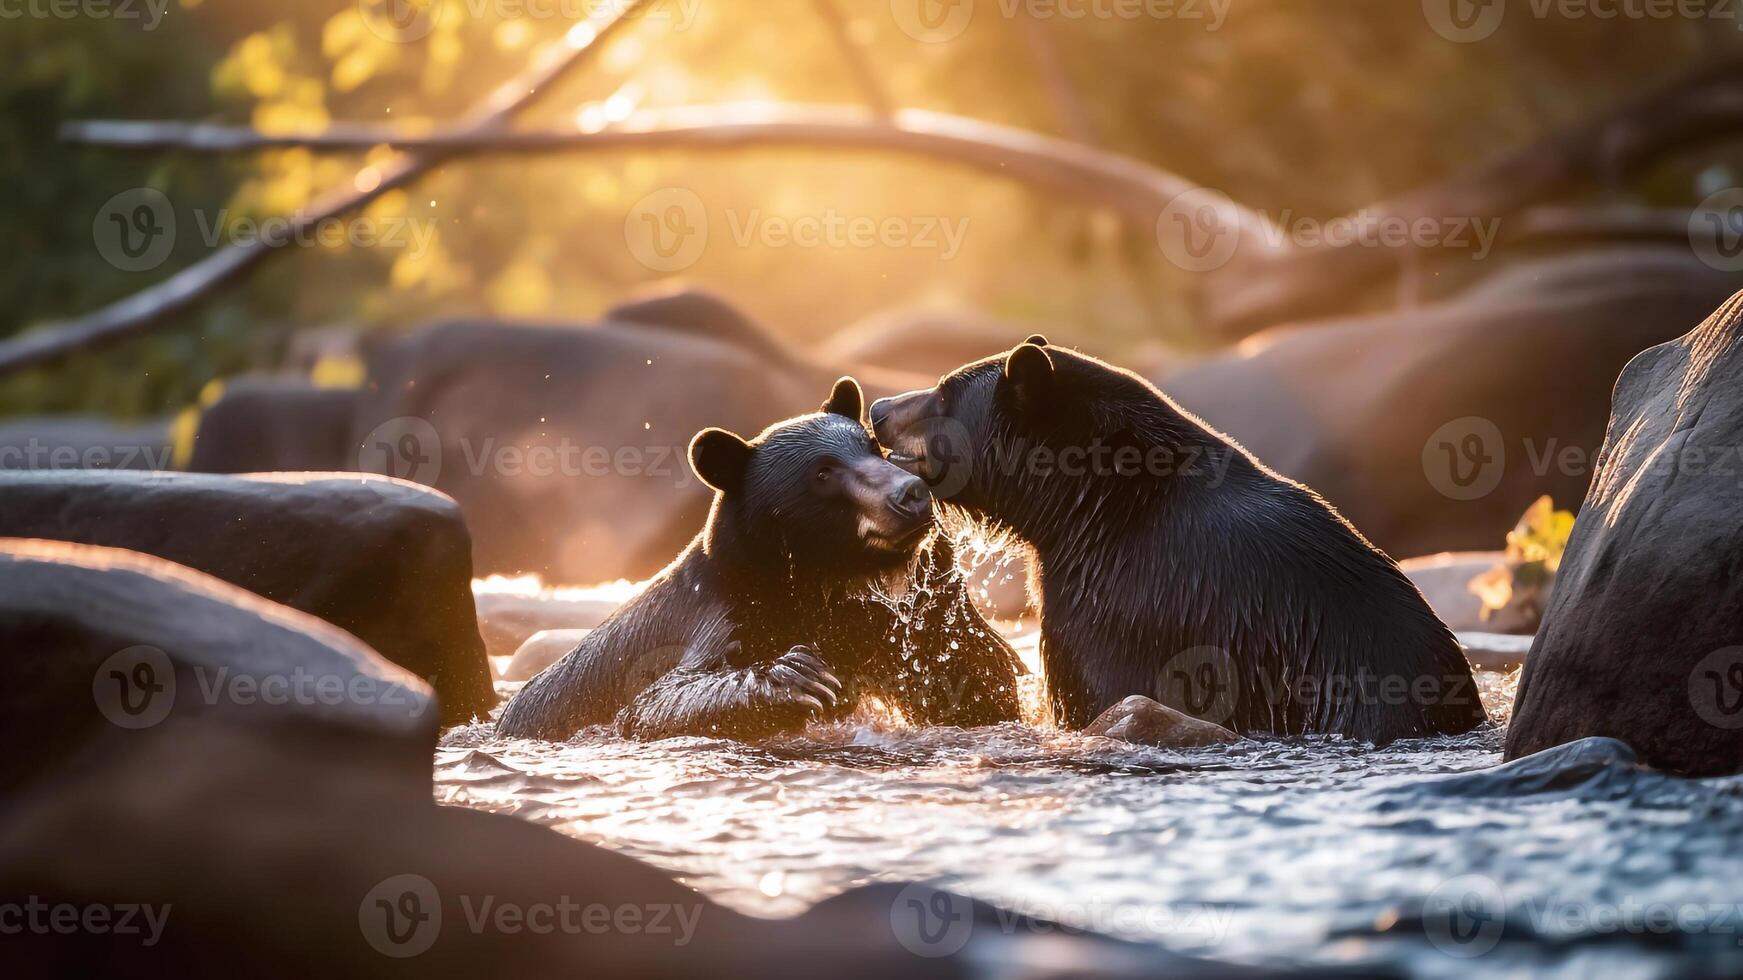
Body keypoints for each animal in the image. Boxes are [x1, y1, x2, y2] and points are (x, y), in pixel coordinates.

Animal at [495, 378, 1017, 735]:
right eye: (822, 473)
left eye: (872, 445)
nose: (910, 494)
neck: (819, 584)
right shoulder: (722, 616)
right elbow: (654, 704)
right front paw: (800, 677)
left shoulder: (885, 626)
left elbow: (971, 674)